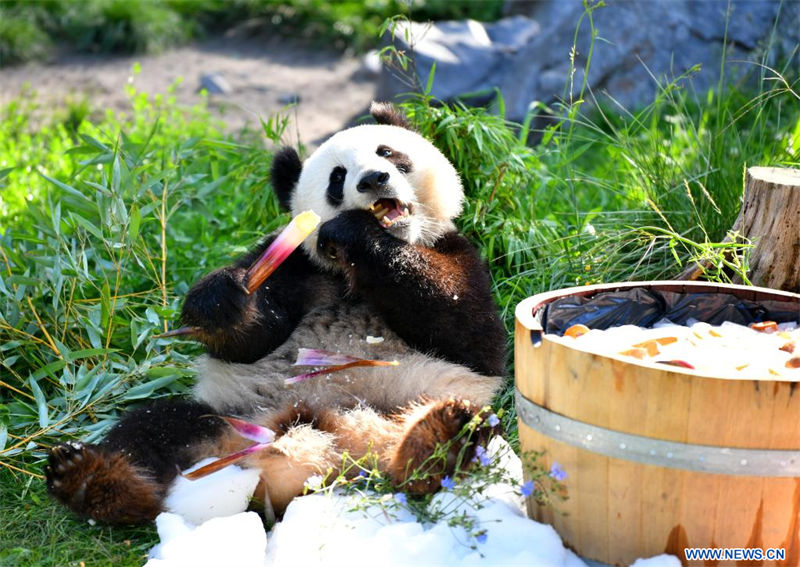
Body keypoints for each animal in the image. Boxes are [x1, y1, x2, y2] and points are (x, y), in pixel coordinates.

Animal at [45, 101, 506, 524]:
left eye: (388, 152)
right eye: (338, 177)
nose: (374, 180)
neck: (350, 271)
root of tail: (332, 447)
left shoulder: (459, 254)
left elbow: (467, 333)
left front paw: (358, 234)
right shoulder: (297, 267)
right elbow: (251, 341)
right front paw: (219, 303)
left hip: (411, 402)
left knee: (457, 434)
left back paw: (436, 439)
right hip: (231, 417)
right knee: (151, 427)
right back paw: (91, 479)